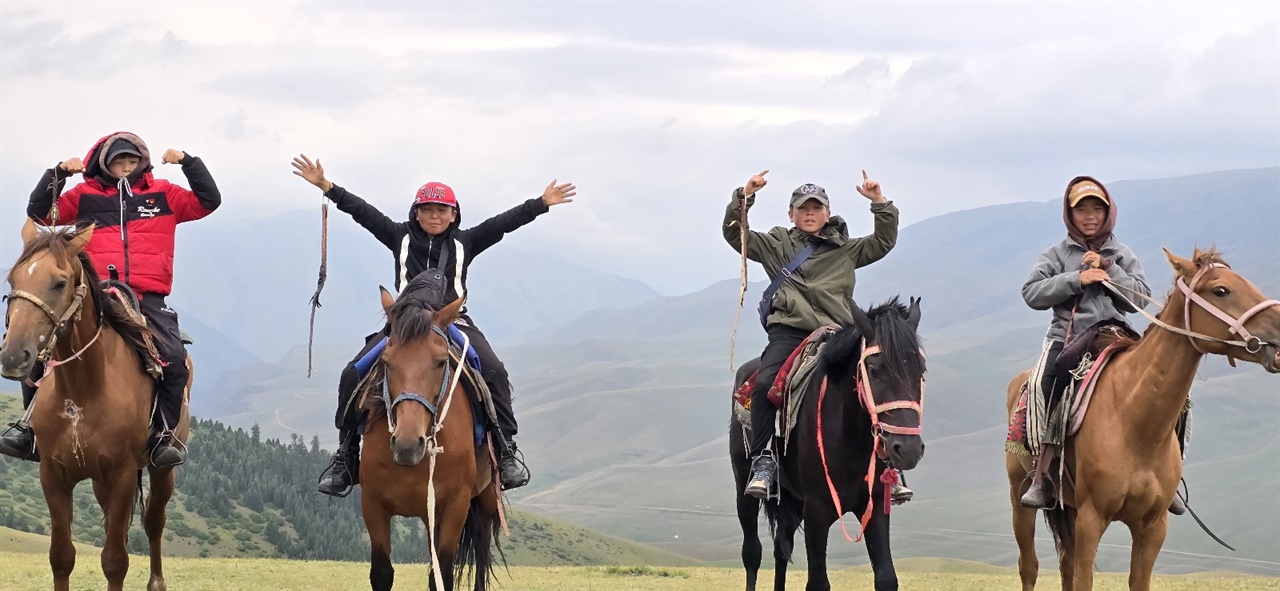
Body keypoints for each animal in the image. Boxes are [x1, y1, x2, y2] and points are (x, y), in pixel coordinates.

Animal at [0, 220, 189, 591]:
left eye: (59, 283)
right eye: (13, 280)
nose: (14, 356)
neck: (82, 389)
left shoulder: (123, 474)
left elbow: (115, 561)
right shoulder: (53, 475)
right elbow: (62, 557)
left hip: (162, 470)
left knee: (154, 522)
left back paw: (156, 582)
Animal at [360, 285, 504, 585]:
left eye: (440, 362)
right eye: (387, 362)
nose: (407, 445)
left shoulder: (454, 506)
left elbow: (443, 575)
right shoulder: (372, 504)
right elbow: (382, 573)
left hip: (486, 499)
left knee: (481, 554)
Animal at [732, 298, 931, 591]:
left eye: (921, 369)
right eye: (874, 370)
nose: (907, 449)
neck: (849, 438)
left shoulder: (874, 507)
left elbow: (886, 577)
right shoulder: (817, 511)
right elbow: (818, 582)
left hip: (792, 499)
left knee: (782, 548)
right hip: (744, 486)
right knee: (752, 553)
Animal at [1008, 246, 1280, 588]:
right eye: (1221, 290)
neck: (1135, 424)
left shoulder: (1152, 526)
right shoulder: (1091, 518)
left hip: (1067, 505)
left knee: (1064, 563)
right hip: (1020, 495)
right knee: (1029, 565)